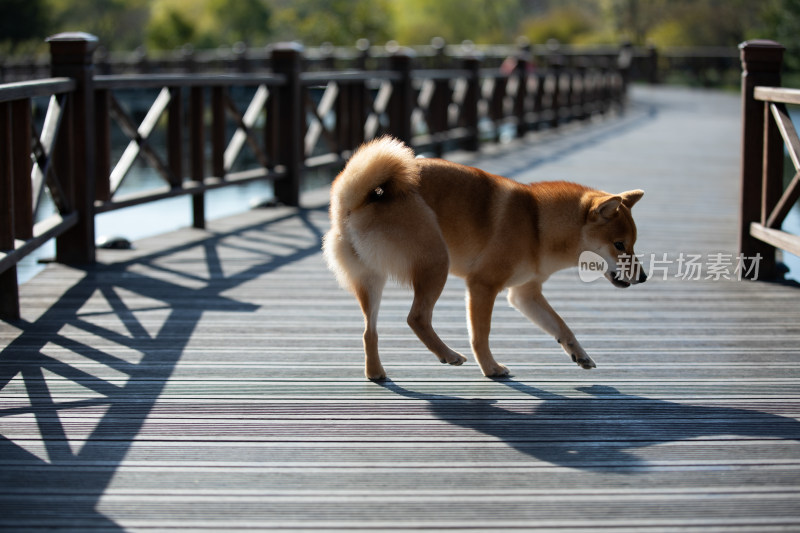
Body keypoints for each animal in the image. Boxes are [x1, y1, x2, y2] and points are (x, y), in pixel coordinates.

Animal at [322, 136, 648, 378]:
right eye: (619, 245)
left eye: (632, 244)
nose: (644, 276)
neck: (537, 224)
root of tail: (354, 201)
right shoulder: (483, 285)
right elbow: (481, 335)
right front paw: (491, 368)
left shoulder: (525, 294)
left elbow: (560, 325)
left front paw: (579, 353)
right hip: (436, 262)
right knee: (416, 318)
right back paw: (448, 354)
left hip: (371, 280)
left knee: (369, 331)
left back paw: (376, 372)